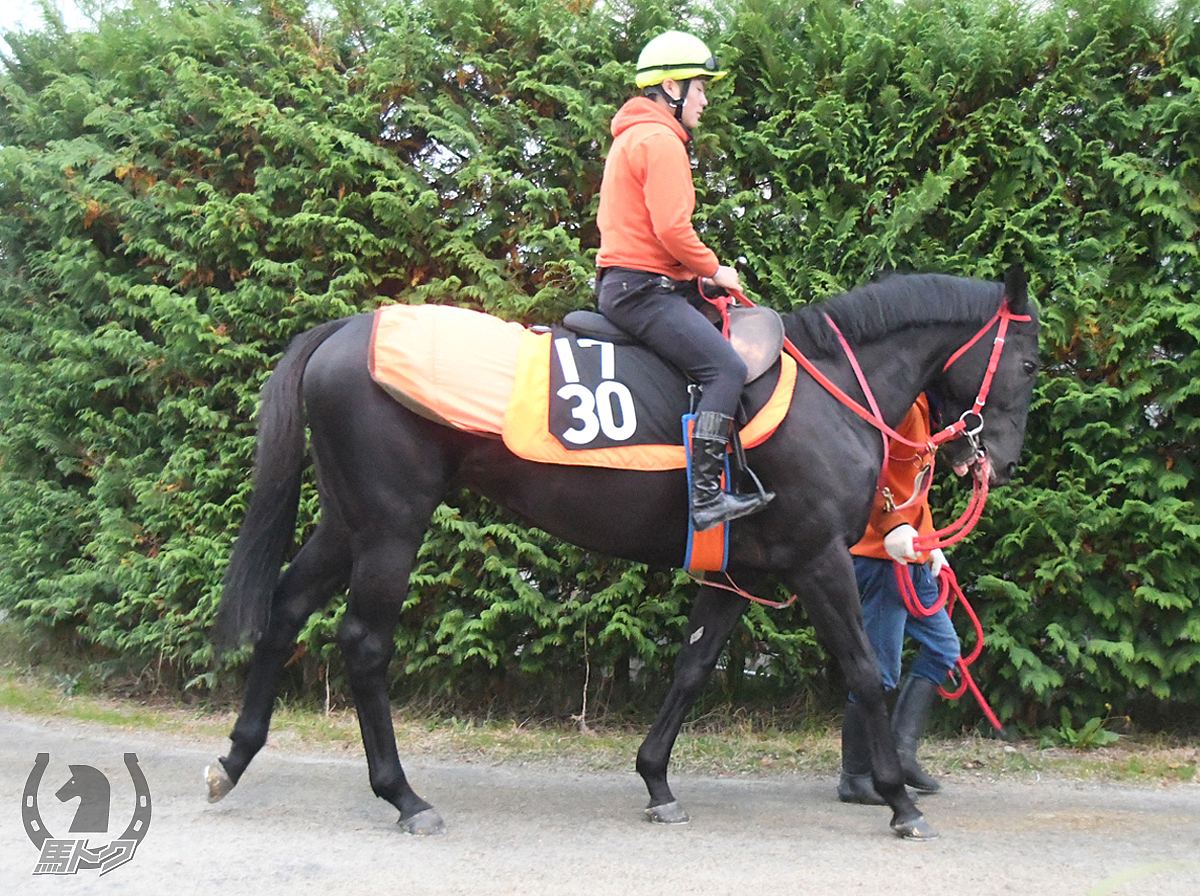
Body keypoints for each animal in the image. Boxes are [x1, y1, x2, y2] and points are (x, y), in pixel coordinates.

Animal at [208, 266, 1041, 839]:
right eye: (1031, 364)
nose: (996, 461)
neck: (830, 394)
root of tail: (347, 330)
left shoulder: (736, 573)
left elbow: (692, 668)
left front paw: (656, 780)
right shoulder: (818, 560)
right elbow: (866, 673)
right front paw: (899, 798)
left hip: (349, 521)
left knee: (286, 607)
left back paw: (236, 757)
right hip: (391, 525)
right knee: (364, 643)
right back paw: (404, 796)